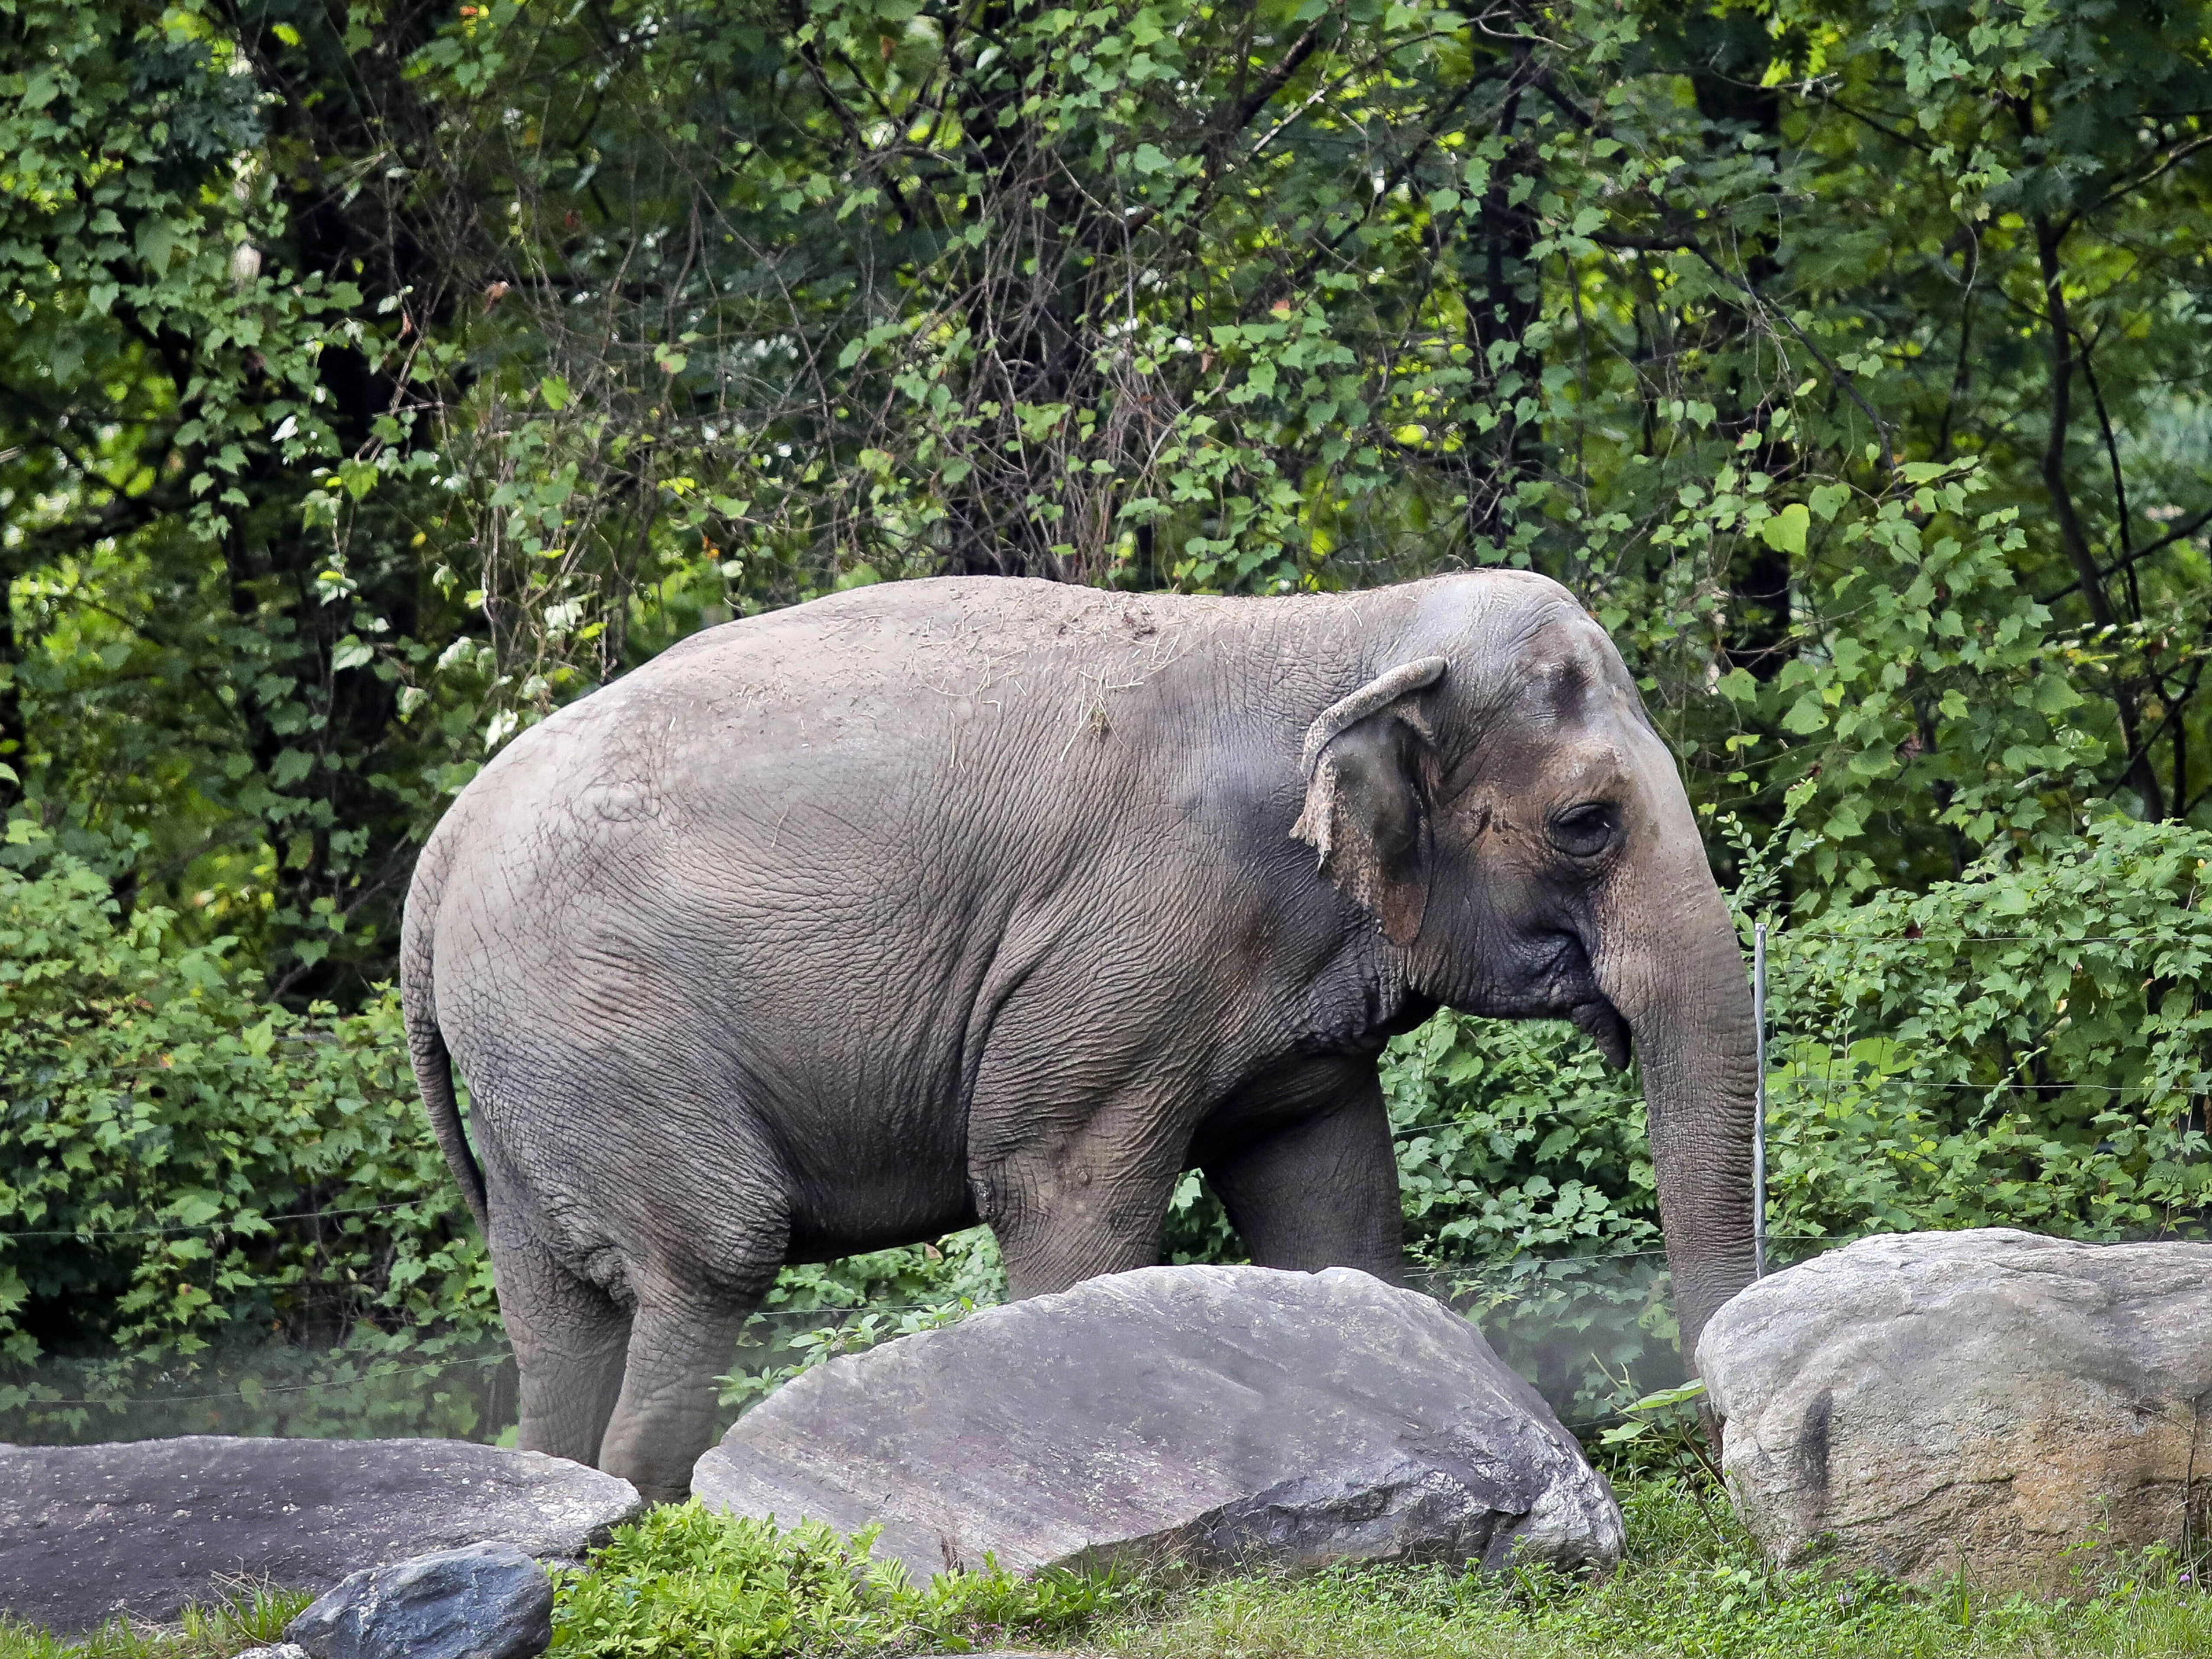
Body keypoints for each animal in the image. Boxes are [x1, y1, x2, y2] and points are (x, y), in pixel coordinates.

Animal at [401, 570, 1758, 1502]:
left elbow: (1331, 1203)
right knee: (711, 1257)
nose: (1708, 1445)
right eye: (1585, 823)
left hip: (534, 1067)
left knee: (552, 1312)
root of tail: (441, 851)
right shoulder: (1130, 945)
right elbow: (1061, 1188)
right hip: (601, 1021)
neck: (1343, 630)